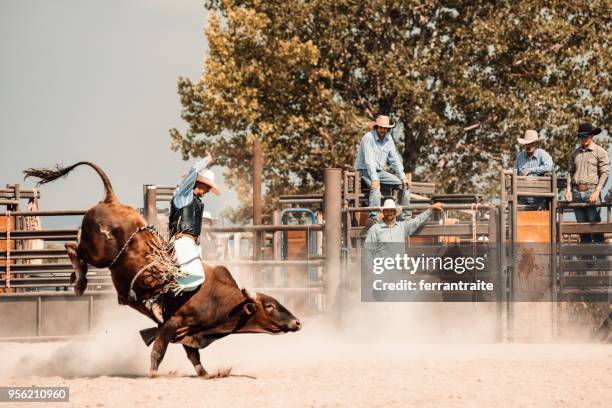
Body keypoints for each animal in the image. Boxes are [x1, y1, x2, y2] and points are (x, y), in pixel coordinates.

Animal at [23, 163, 302, 376]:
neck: (217, 299)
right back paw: (80, 283)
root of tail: (112, 199)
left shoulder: (188, 332)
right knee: (72, 247)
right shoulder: (172, 324)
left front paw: (210, 374)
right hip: (99, 254)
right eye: (270, 306)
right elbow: (158, 350)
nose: (298, 322)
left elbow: (194, 357)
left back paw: (76, 279)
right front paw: (154, 374)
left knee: (74, 245)